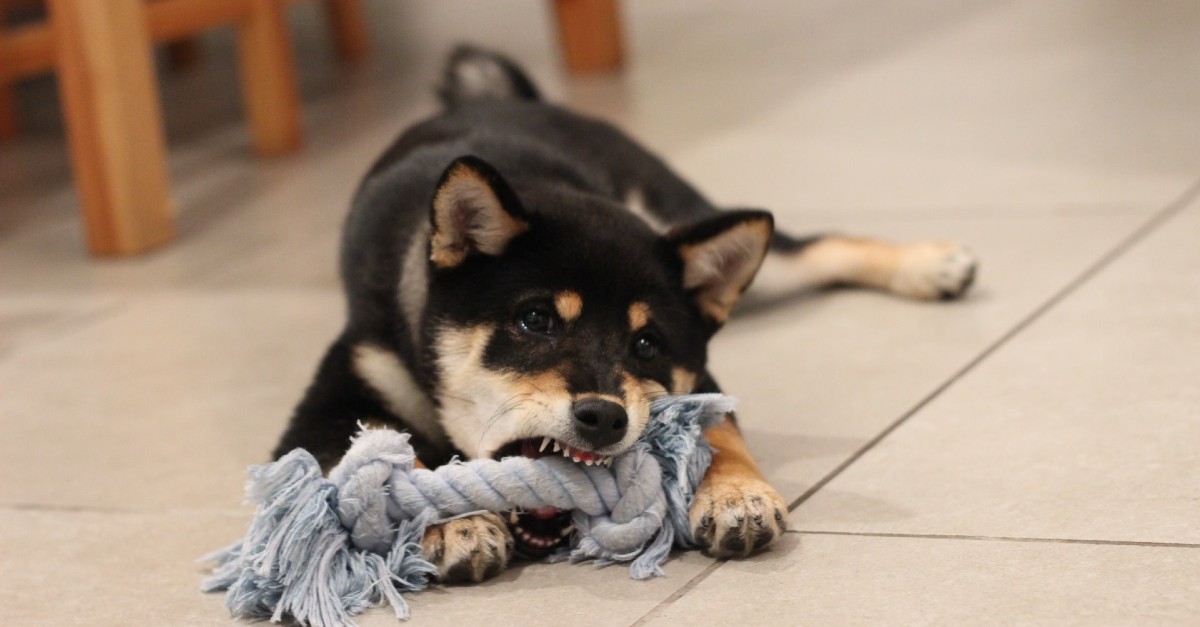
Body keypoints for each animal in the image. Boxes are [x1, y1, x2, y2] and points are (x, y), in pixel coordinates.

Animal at [272, 46, 974, 583]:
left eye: (646, 344)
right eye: (534, 321)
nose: (604, 417)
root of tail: (512, 100)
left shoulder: (699, 379)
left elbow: (718, 434)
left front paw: (738, 495)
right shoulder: (327, 407)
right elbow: (390, 463)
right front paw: (453, 521)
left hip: (681, 213)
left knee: (817, 248)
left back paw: (932, 264)